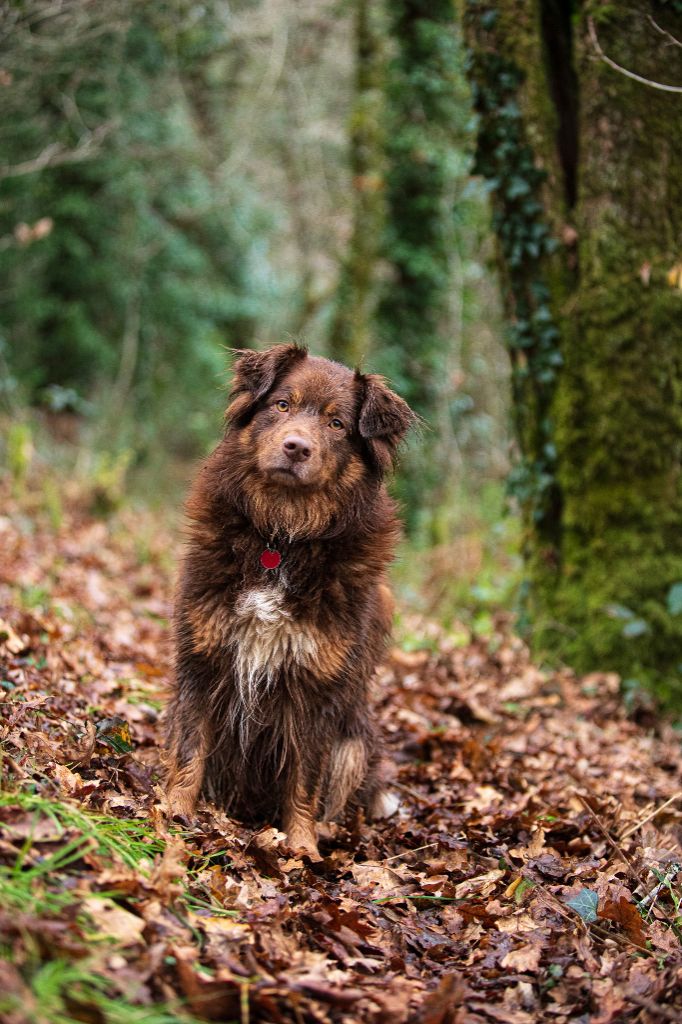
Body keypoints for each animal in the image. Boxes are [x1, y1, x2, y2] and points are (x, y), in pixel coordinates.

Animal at [164, 344, 411, 856]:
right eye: (281, 405)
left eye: (337, 424)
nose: (297, 447)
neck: (282, 535)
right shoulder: (202, 656)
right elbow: (191, 746)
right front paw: (176, 809)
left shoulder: (318, 687)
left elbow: (306, 778)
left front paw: (301, 846)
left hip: (355, 743)